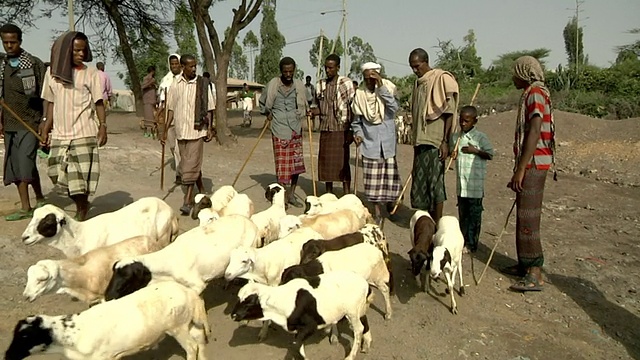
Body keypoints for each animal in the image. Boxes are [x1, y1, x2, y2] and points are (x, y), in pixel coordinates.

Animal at [5, 282, 210, 360]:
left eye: (25, 337)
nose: (7, 355)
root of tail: (188, 292)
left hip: (178, 327)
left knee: (192, 348)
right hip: (191, 324)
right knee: (200, 343)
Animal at [21, 197, 179, 258]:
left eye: (48, 222)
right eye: (33, 217)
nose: (24, 238)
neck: (79, 236)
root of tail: (172, 214)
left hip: (162, 240)